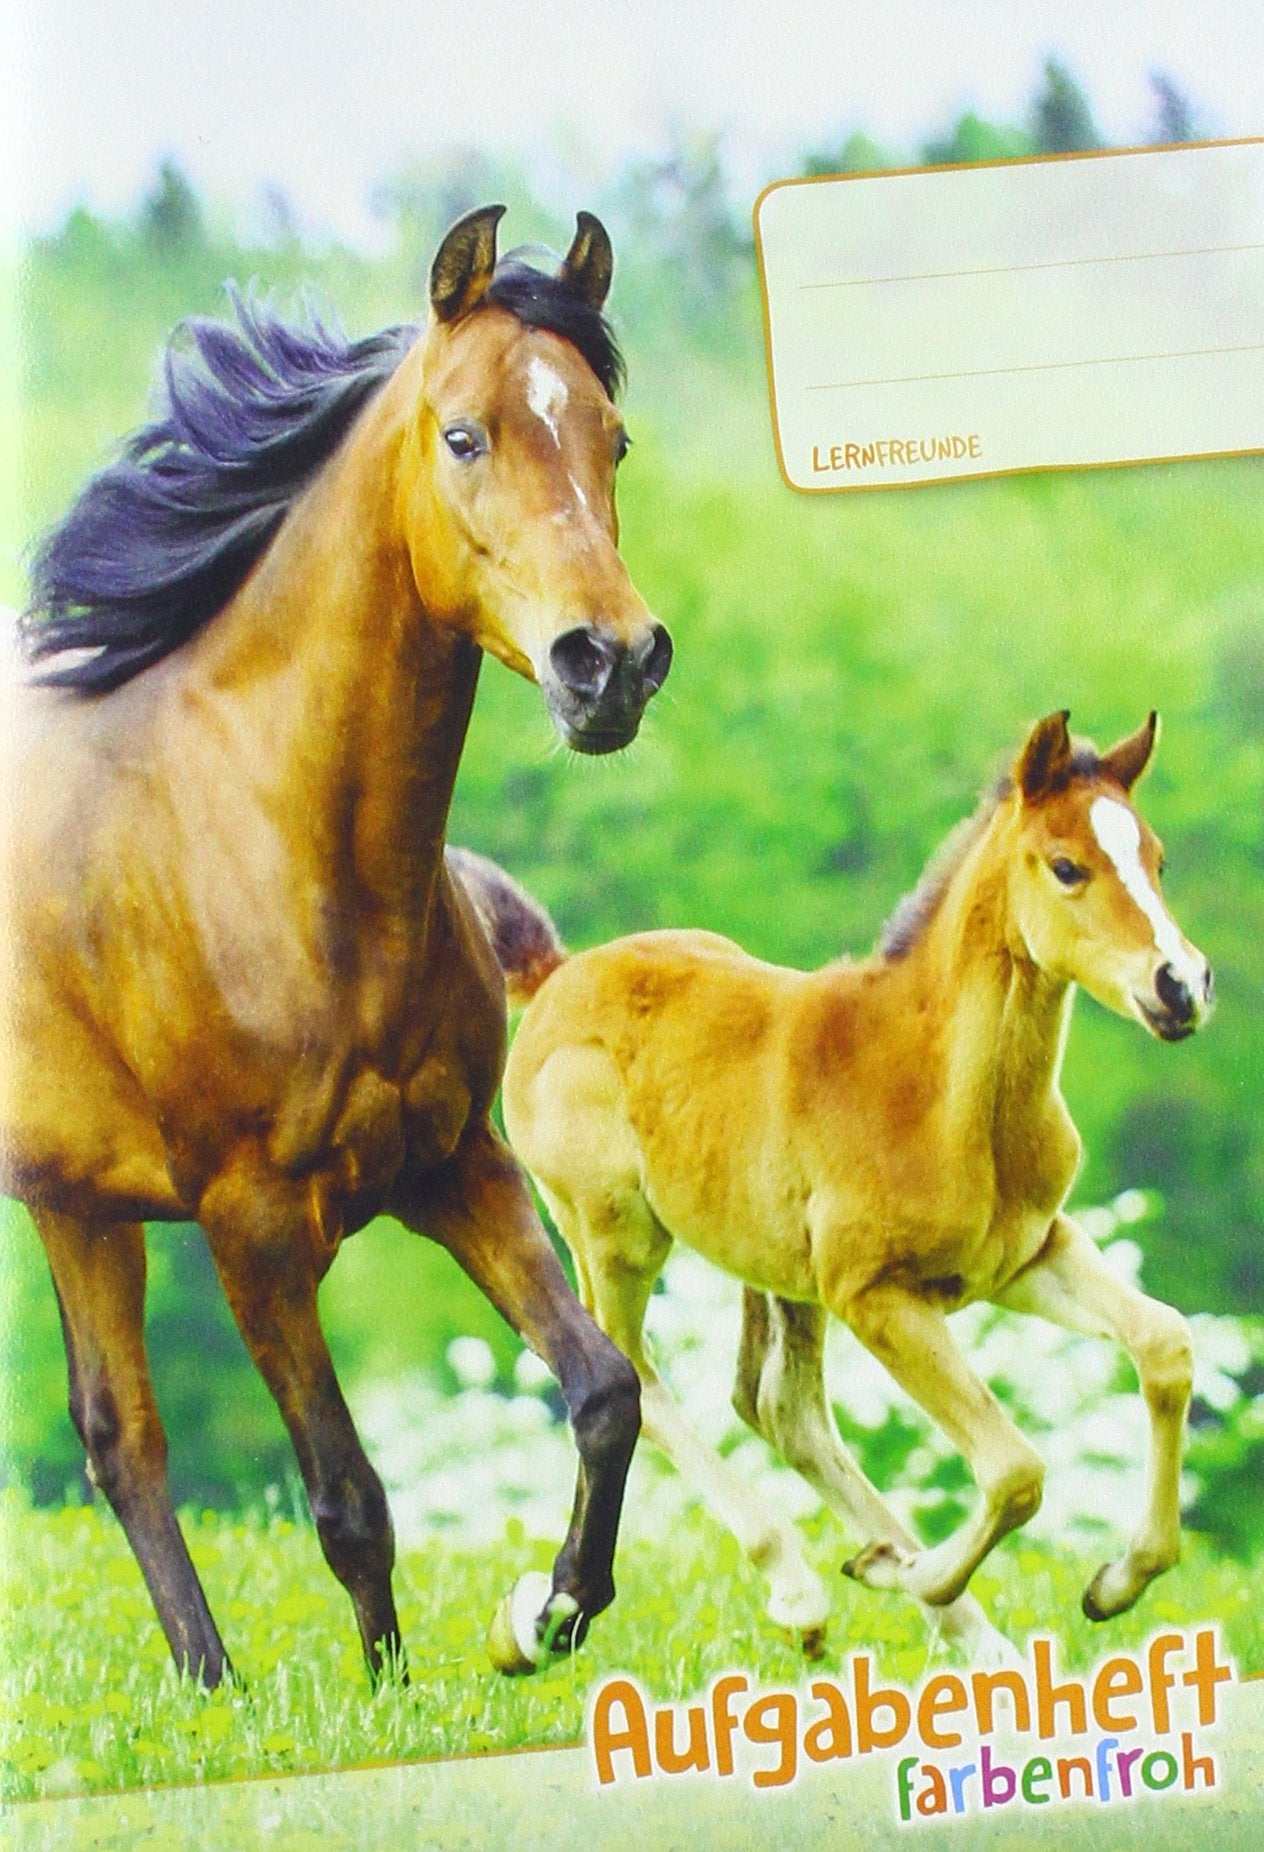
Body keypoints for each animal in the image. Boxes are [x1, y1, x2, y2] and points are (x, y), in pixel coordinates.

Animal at [0, 205, 673, 1687]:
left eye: (611, 437)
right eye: (464, 434)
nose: (610, 664)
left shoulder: (453, 1160)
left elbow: (603, 1388)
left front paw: (555, 1612)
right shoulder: (250, 1225)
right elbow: (349, 1496)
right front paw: (388, 1699)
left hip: (77, 1200)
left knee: (119, 1436)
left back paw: (210, 1690)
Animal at [479, 711, 1213, 1658]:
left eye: (1157, 859)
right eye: (1066, 866)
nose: (1181, 986)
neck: (941, 1094)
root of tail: (556, 975)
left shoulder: (1028, 1255)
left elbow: (1165, 1346)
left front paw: (1116, 1583)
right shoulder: (877, 1294)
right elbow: (1015, 1469)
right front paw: (911, 1571)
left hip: (776, 1268)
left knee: (776, 1406)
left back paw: (963, 1629)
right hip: (615, 1233)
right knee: (633, 1374)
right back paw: (804, 1588)